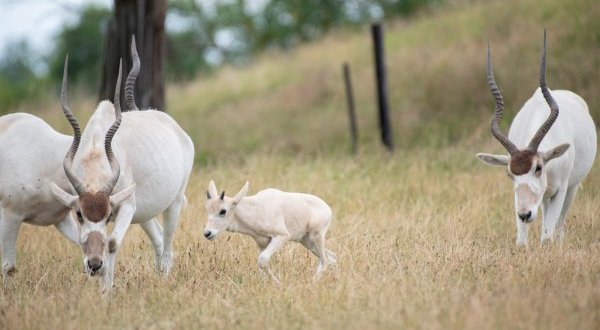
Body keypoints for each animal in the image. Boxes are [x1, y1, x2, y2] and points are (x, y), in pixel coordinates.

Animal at [51, 58, 195, 292]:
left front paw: (107, 289)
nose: (94, 265)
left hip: (173, 202)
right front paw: (104, 288)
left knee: (167, 244)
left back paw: (164, 280)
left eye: (108, 213)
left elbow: (111, 242)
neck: (96, 147)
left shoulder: (126, 206)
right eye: (79, 214)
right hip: (144, 211)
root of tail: (176, 128)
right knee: (158, 238)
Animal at [476, 32, 596, 246]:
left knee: (559, 226)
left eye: (538, 167)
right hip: (544, 199)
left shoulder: (560, 191)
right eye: (509, 173)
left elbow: (547, 238)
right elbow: (522, 241)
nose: (525, 214)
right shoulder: (520, 197)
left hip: (570, 189)